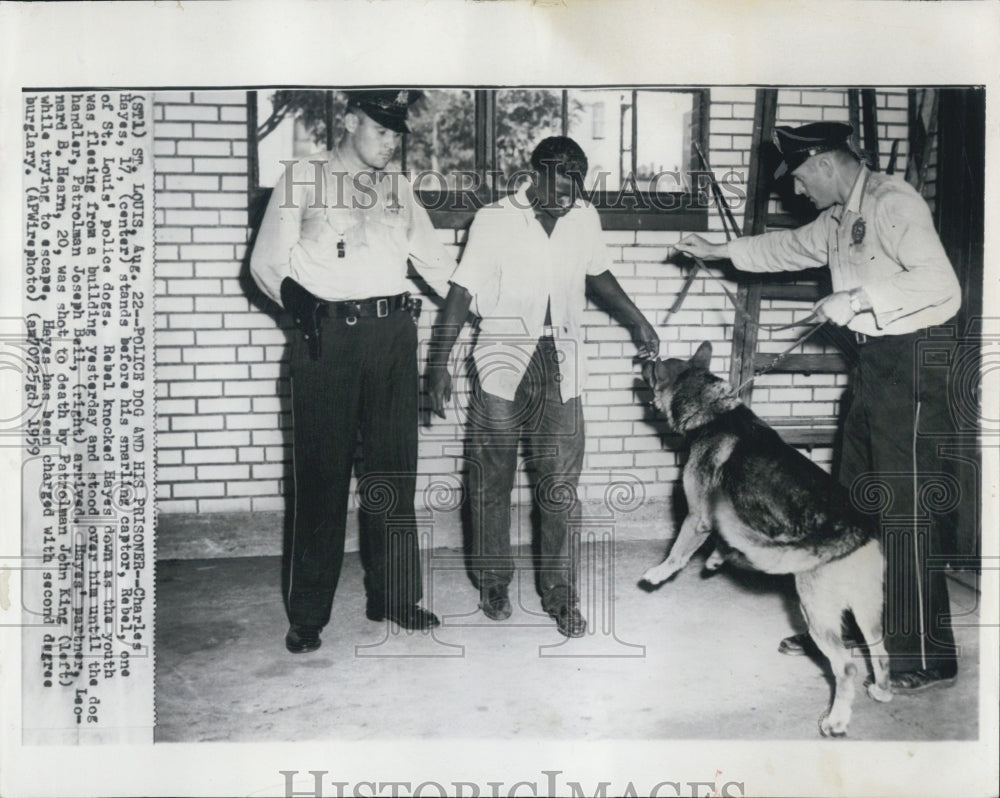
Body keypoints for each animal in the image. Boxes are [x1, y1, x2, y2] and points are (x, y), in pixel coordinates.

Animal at [644, 344, 896, 736]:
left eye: (656, 368)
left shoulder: (698, 517)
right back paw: (882, 690)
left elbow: (678, 551)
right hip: (866, 610)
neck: (713, 412)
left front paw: (660, 573)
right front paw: (717, 559)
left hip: (815, 609)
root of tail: (855, 532)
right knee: (879, 649)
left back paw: (836, 719)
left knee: (846, 665)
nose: (642, 361)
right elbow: (727, 540)